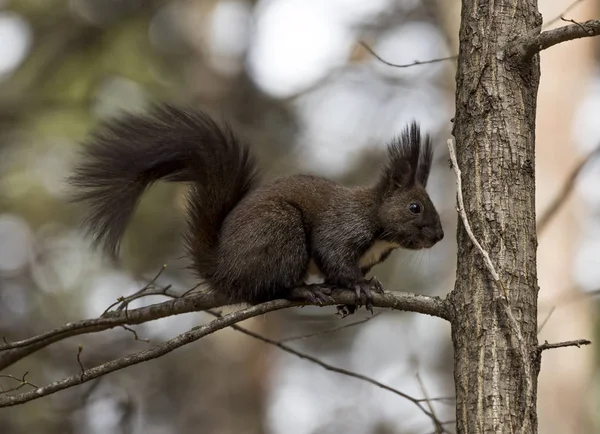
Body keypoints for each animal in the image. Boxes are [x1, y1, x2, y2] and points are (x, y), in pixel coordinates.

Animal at [69, 107, 446, 314]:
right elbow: (335, 257)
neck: (377, 222)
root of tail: (223, 268)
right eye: (415, 207)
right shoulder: (343, 227)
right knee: (264, 291)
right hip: (280, 231)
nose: (440, 236)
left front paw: (353, 295)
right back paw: (301, 290)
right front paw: (360, 285)